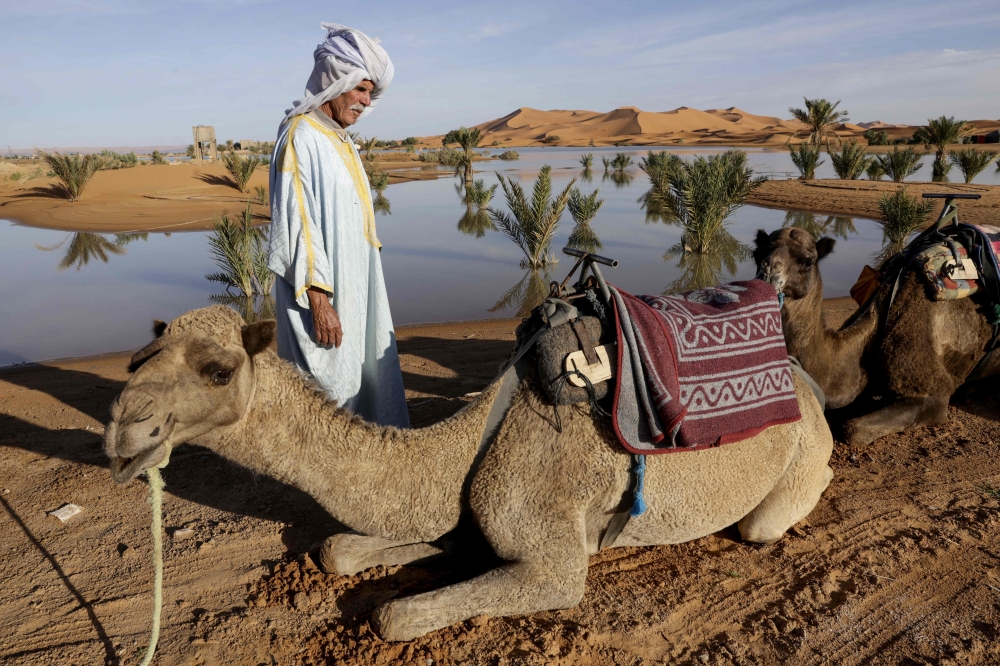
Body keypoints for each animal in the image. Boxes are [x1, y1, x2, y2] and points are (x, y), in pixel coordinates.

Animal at [105, 304, 832, 640]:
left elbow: (393, 616)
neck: (469, 442)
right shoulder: (464, 513)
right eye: (140, 357)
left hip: (793, 471)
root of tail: (808, 382)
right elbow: (340, 550)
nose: (122, 428)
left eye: (217, 370)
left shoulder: (552, 563)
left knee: (766, 522)